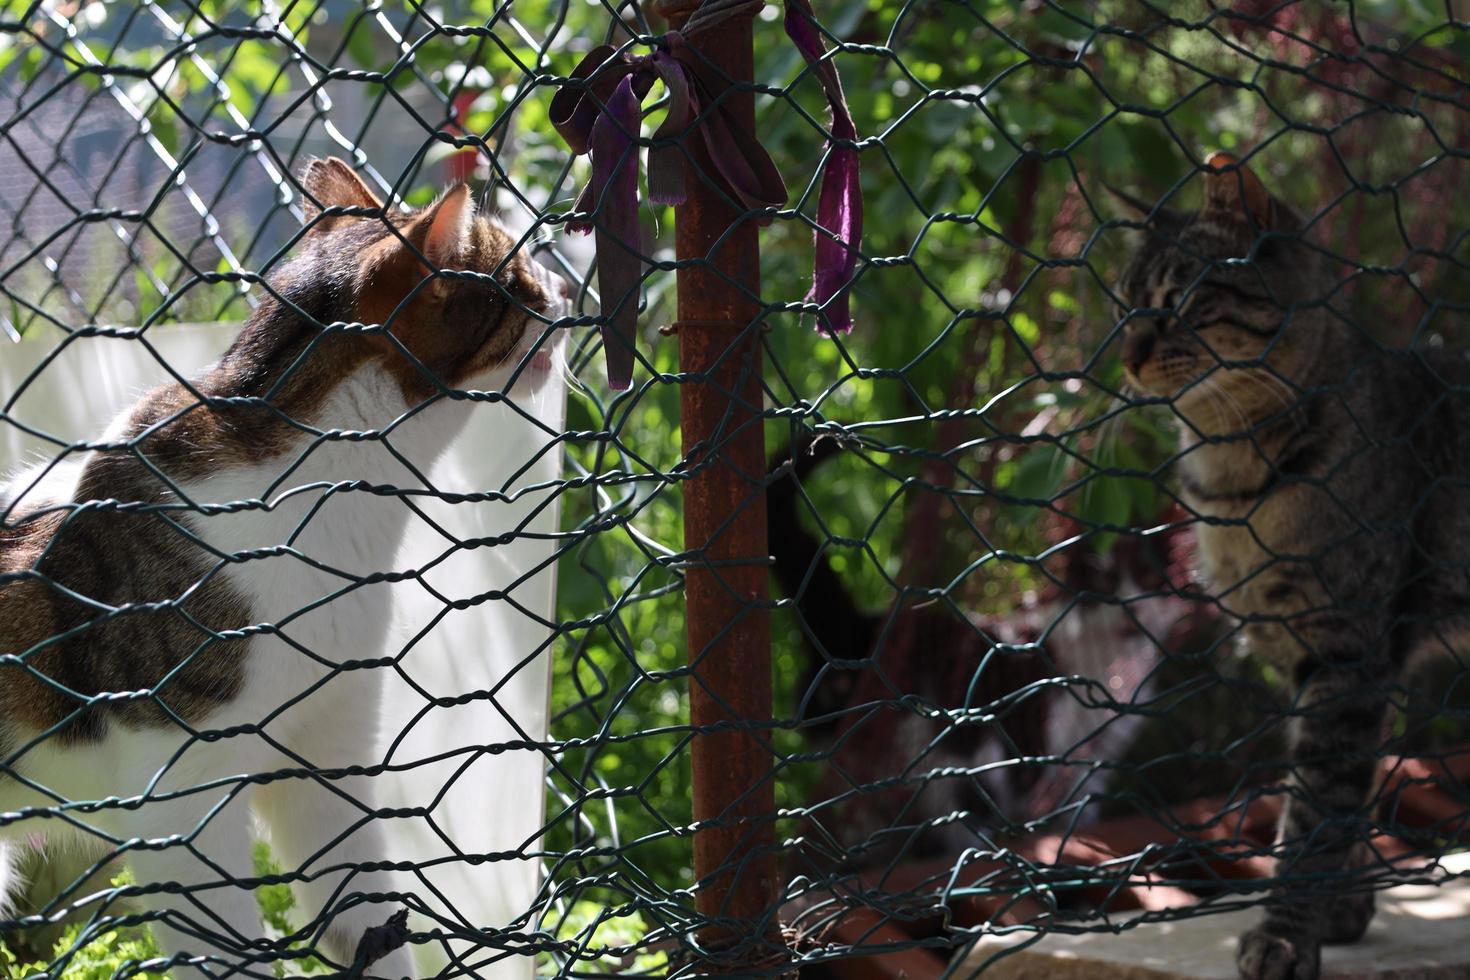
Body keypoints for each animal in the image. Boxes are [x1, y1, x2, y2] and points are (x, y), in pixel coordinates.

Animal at [0, 157, 567, 975]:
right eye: (518, 273)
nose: (565, 285)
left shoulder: (327, 756)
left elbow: (369, 917)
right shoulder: (181, 806)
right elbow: (230, 950)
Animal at [1117, 153, 1464, 980]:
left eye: (1179, 303)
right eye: (1125, 307)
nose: (1127, 355)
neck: (1233, 478)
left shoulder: (1348, 650)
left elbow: (1316, 807)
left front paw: (1287, 931)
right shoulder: (1312, 653)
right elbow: (1341, 795)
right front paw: (1343, 909)